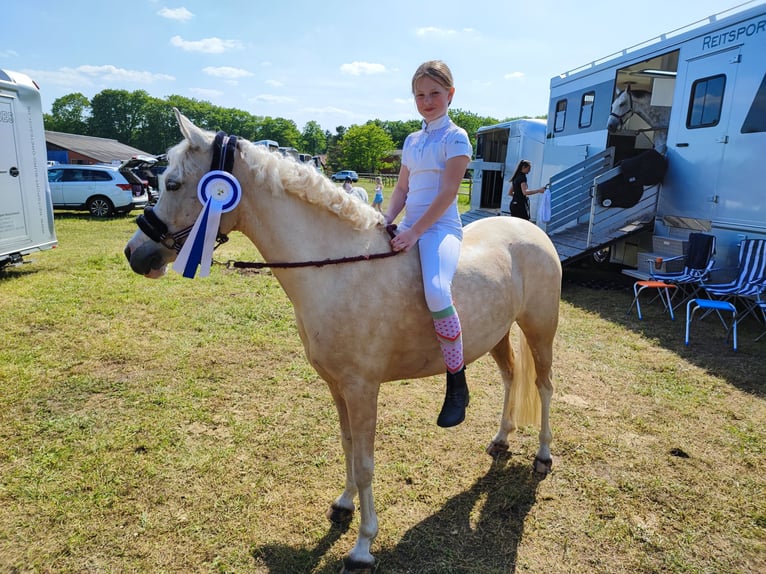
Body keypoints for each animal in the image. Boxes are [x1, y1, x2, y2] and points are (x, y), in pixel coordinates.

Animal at [126, 110, 564, 572]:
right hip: (499, 333)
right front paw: (343, 505)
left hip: (540, 330)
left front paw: (362, 546)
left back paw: (542, 456)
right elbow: (349, 446)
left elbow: (367, 462)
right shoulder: (337, 385)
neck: (338, 267)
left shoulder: (361, 388)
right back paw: (501, 439)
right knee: (511, 378)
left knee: (544, 386)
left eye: (174, 183)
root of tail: (529, 229)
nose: (134, 254)